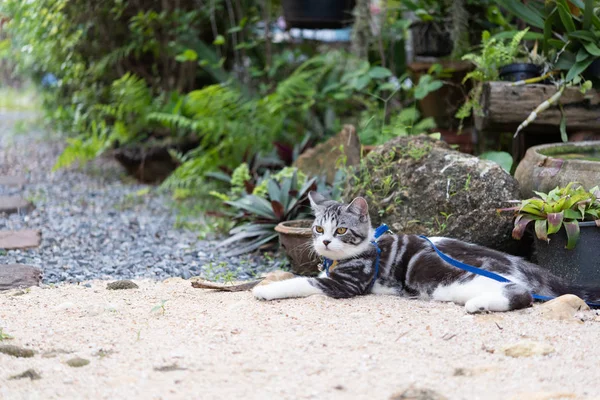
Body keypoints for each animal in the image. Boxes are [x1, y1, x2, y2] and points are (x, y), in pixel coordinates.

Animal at [252, 191, 600, 312]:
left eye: (340, 231)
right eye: (317, 229)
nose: (324, 242)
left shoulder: (347, 284)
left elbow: (302, 281)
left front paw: (265, 289)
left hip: (441, 278)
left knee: (520, 292)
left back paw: (479, 305)